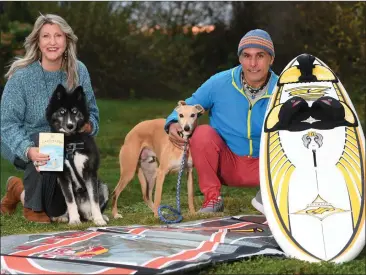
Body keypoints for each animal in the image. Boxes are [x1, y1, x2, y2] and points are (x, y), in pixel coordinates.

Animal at [45, 84, 108, 226]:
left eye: (74, 111)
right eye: (62, 112)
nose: (70, 125)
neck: (72, 141)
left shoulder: (90, 173)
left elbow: (94, 200)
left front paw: (99, 219)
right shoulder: (63, 177)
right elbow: (70, 201)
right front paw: (74, 219)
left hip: (103, 187)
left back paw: (96, 216)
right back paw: (64, 216)